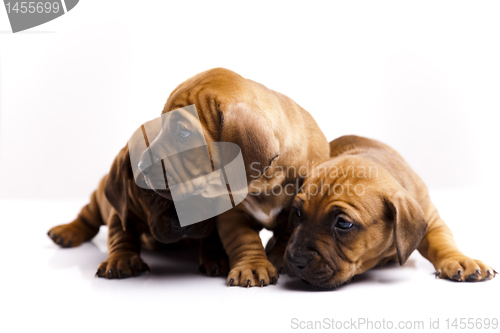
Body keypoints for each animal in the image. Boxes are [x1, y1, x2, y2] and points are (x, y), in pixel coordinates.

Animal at [282, 135, 496, 288]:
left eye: (343, 223)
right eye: (298, 213)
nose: (294, 261)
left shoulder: (431, 220)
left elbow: (442, 242)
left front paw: (460, 260)